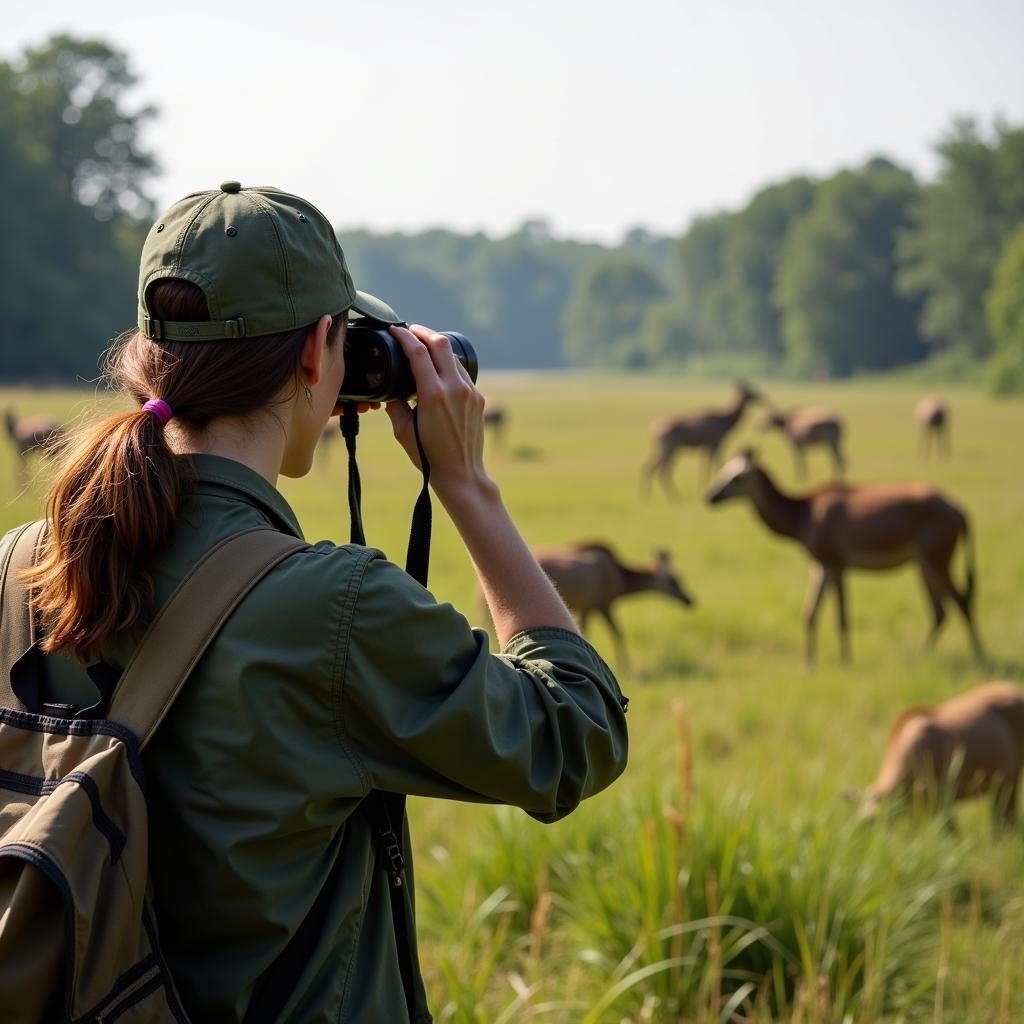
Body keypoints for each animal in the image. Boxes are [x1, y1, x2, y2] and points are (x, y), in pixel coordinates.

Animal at [536, 544, 696, 671]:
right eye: (673, 580)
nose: (689, 600)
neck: (622, 581)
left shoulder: (587, 607)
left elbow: (586, 633)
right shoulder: (604, 603)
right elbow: (618, 632)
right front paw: (625, 668)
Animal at [704, 448, 983, 663]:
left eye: (737, 476)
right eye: (724, 471)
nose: (711, 496)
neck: (802, 517)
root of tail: (959, 511)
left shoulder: (836, 565)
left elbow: (841, 618)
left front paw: (845, 660)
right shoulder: (819, 567)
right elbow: (809, 614)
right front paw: (808, 663)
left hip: (937, 560)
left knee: (962, 601)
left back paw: (978, 657)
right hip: (924, 564)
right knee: (941, 611)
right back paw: (923, 655)